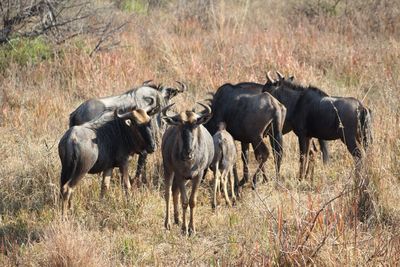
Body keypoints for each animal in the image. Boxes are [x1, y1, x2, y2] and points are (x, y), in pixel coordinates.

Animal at [161, 102, 214, 237]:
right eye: (179, 123)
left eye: (195, 123)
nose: (187, 153)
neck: (190, 162)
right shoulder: (179, 174)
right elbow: (184, 201)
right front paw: (185, 229)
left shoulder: (198, 175)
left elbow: (192, 201)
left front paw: (192, 229)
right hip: (168, 169)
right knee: (168, 192)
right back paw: (168, 223)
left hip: (186, 178)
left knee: (174, 190)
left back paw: (177, 219)